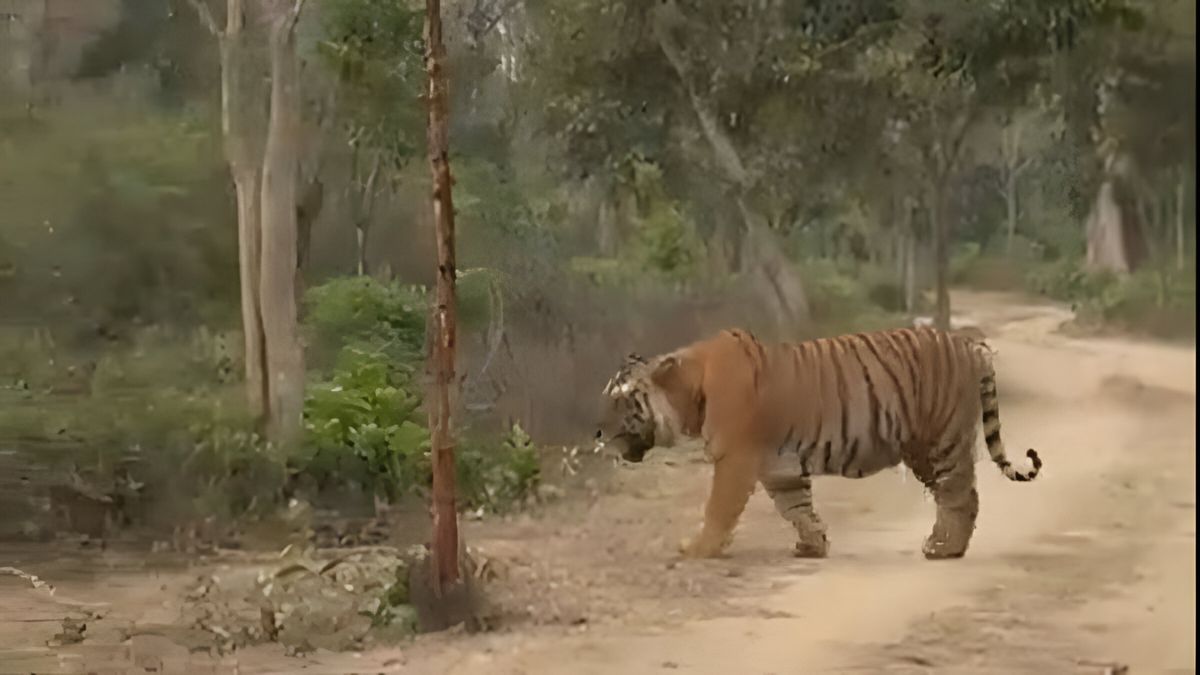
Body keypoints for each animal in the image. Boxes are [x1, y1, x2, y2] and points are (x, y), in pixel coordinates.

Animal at [594, 327, 1042, 560]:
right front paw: (812, 545)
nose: (596, 432)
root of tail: (968, 344)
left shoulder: (734, 459)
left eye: (620, 401)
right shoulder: (779, 466)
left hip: (942, 440)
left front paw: (698, 547)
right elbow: (797, 507)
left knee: (961, 495)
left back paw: (943, 547)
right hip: (922, 448)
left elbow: (718, 509)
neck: (690, 391)